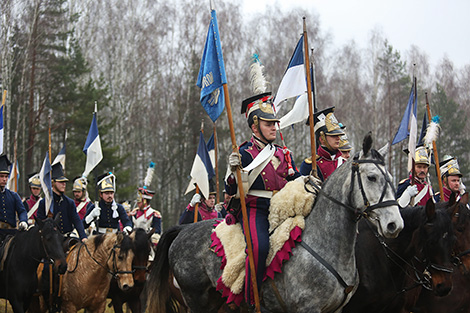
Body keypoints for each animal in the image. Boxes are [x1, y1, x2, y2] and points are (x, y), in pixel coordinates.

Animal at [145, 132, 402, 312]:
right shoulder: (307, 308)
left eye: (391, 178)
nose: (395, 225)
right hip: (196, 299)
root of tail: (183, 229)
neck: (324, 246)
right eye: (372, 177)